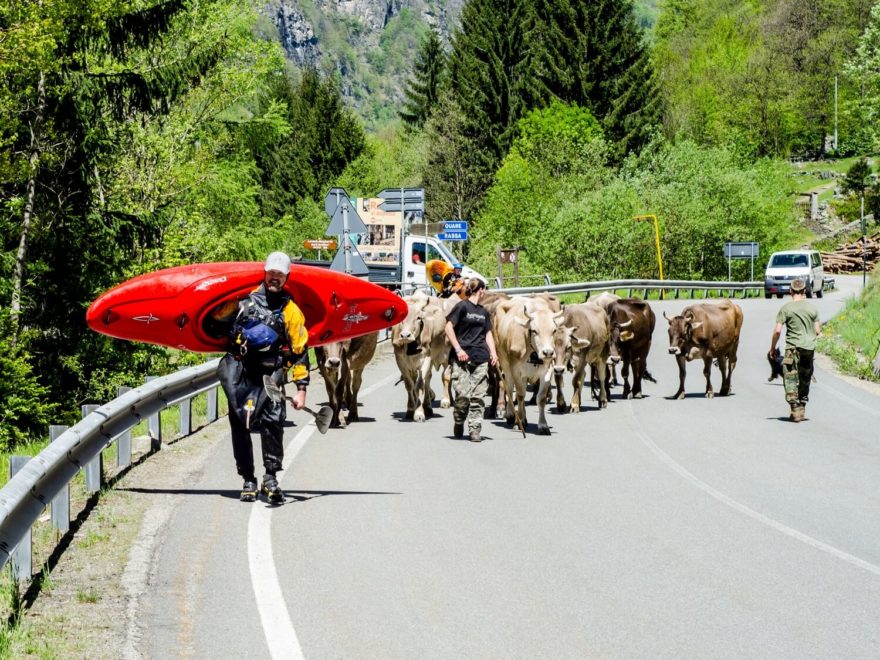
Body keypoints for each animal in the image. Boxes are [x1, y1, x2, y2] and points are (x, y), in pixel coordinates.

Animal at [390, 294, 450, 422]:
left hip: (445, 354)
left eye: (418, 317)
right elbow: (409, 385)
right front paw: (410, 409)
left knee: (443, 377)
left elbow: (420, 385)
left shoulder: (426, 358)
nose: (405, 335)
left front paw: (418, 412)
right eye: (402, 317)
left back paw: (443, 401)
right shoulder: (400, 361)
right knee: (425, 379)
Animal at [496, 296, 564, 436]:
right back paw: (511, 415)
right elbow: (520, 396)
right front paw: (519, 422)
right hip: (504, 363)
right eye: (534, 331)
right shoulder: (516, 371)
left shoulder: (547, 371)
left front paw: (543, 425)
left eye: (554, 330)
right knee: (509, 387)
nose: (548, 352)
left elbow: (541, 398)